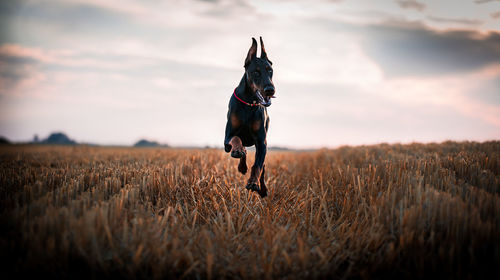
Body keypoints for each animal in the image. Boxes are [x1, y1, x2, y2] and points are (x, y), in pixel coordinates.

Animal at [225, 37, 276, 198]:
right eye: (256, 72)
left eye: (270, 70)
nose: (270, 90)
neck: (249, 102)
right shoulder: (226, 139)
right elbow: (236, 138)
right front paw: (238, 151)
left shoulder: (262, 142)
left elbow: (258, 166)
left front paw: (253, 183)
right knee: (243, 149)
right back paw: (241, 162)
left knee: (263, 167)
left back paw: (263, 189)